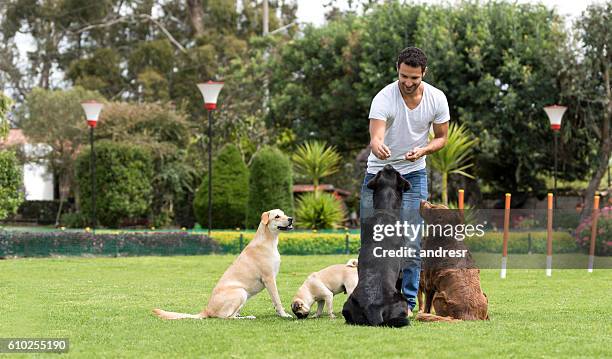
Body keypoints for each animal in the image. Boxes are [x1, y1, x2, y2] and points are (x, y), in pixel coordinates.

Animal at [155, 211, 294, 320]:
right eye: (277, 216)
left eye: (284, 213)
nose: (290, 218)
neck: (268, 240)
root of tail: (207, 309)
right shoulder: (269, 279)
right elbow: (277, 299)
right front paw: (284, 314)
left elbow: (275, 301)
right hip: (241, 292)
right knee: (227, 317)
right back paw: (247, 317)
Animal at [344, 165, 412, 328]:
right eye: (397, 173)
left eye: (382, 172)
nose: (389, 165)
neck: (385, 210)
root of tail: (372, 307)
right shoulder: (401, 272)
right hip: (401, 300)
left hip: (347, 305)